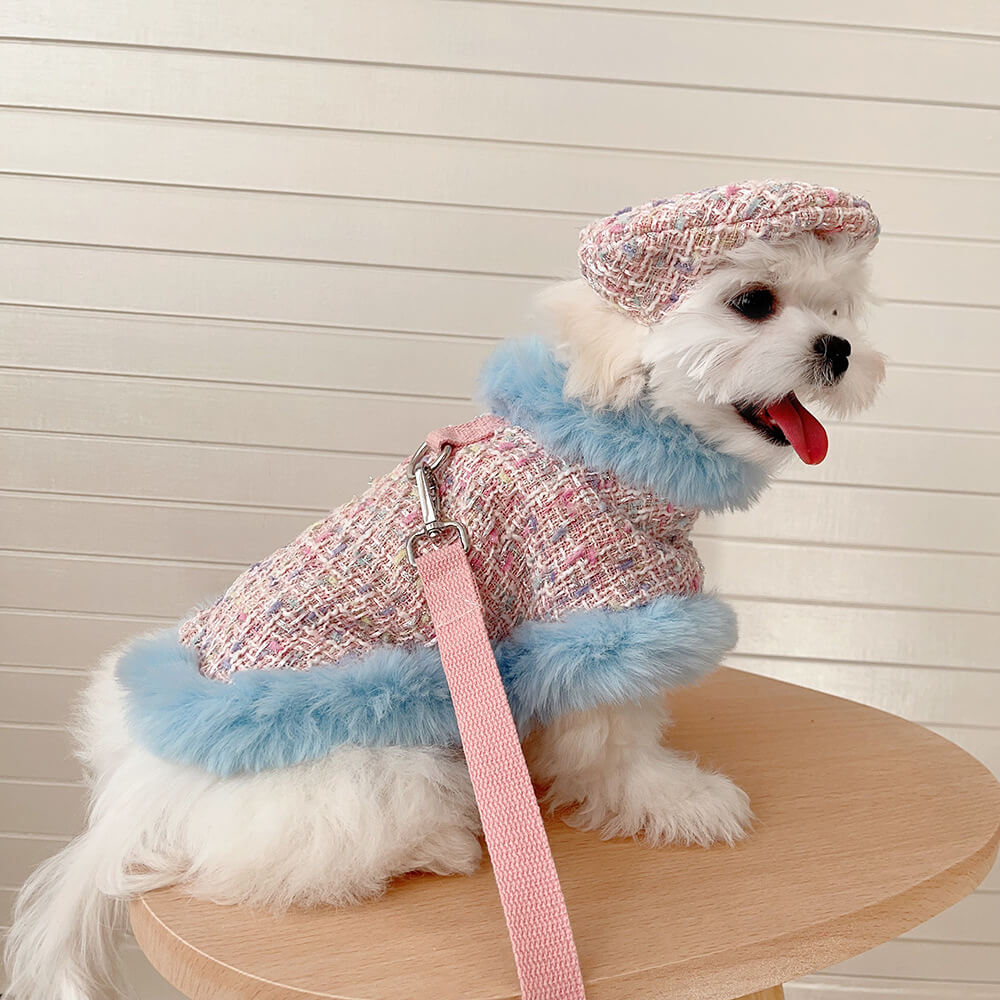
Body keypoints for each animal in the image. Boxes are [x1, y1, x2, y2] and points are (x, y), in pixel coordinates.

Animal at [5, 182, 884, 1000]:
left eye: (839, 307)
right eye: (753, 301)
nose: (839, 348)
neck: (608, 441)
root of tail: (135, 797)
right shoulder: (592, 608)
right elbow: (616, 745)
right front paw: (681, 800)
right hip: (376, 767)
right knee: (280, 859)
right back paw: (447, 843)